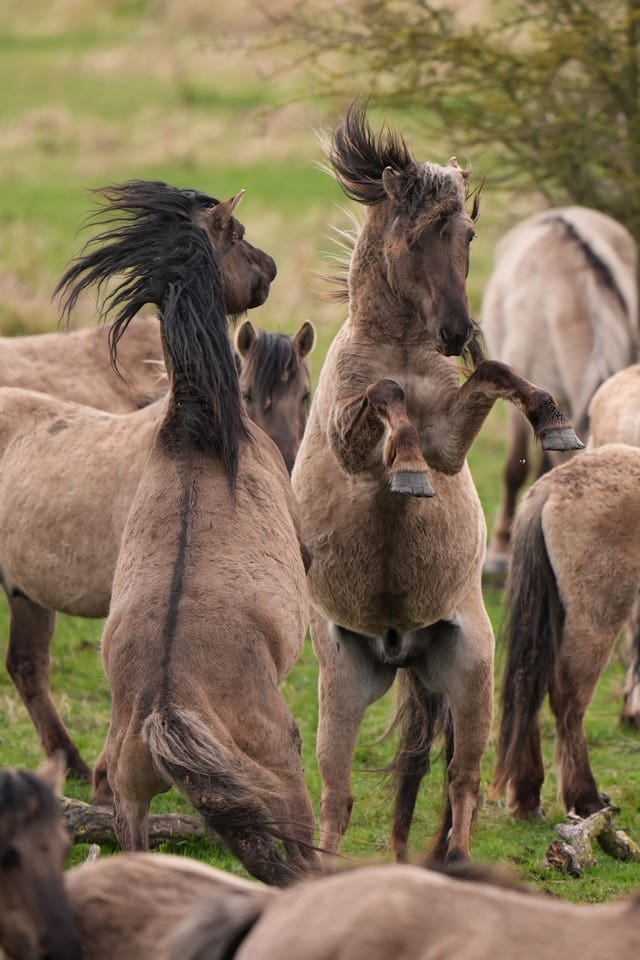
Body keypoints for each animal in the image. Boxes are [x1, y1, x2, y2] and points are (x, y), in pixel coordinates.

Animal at [291, 100, 582, 865]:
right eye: (417, 234)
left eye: (469, 233)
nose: (456, 331)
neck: (401, 347)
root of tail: (402, 648)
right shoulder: (354, 442)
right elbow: (387, 398)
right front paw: (409, 469)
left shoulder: (453, 440)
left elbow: (499, 372)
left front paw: (556, 424)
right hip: (342, 688)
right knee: (337, 795)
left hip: (473, 674)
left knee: (462, 777)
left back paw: (455, 864)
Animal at [492, 443, 640, 819]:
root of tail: (550, 488)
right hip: (596, 615)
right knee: (567, 701)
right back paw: (586, 798)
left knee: (529, 685)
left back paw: (528, 797)